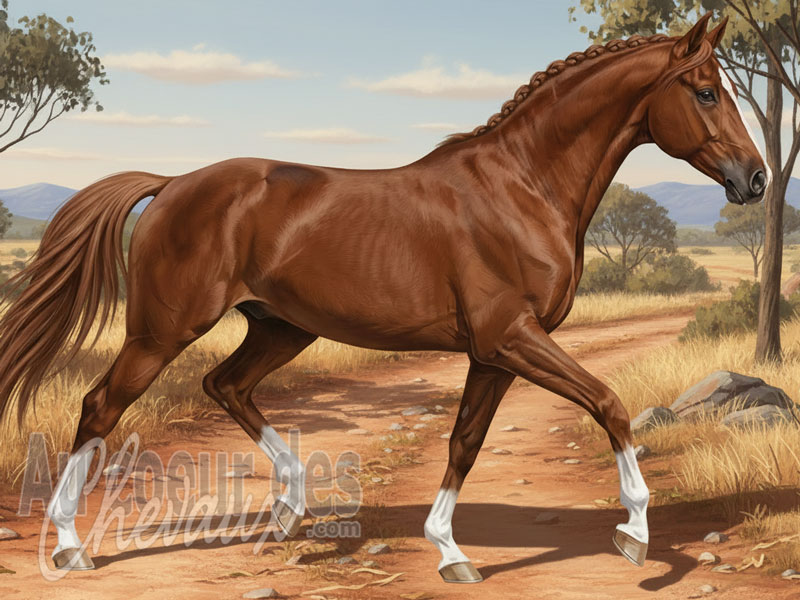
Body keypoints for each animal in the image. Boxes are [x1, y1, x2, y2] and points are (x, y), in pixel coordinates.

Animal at [0, 14, 768, 583]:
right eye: (705, 91)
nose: (755, 179)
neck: (522, 185)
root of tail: (172, 184)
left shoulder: (493, 354)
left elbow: (465, 441)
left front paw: (450, 552)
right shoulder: (511, 338)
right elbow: (607, 402)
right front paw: (634, 532)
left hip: (280, 328)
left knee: (225, 385)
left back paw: (291, 509)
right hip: (163, 331)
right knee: (101, 406)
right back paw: (71, 547)